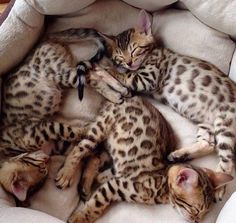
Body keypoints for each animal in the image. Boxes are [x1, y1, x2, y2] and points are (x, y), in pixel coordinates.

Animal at [52, 10, 236, 199]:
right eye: (120, 56)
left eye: (135, 49)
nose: (129, 62)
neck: (152, 54)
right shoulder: (135, 80)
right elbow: (121, 79)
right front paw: (107, 79)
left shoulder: (147, 78)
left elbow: (115, 72)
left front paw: (99, 71)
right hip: (206, 123)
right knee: (209, 144)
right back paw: (179, 155)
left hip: (225, 124)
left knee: (228, 161)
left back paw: (219, 186)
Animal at [54, 96, 232, 223]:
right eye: (194, 209)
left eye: (205, 212)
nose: (197, 221)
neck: (163, 184)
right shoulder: (117, 186)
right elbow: (97, 203)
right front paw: (79, 218)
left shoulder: (119, 173)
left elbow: (106, 174)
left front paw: (99, 177)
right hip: (101, 128)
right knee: (80, 149)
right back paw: (67, 173)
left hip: (111, 142)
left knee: (95, 156)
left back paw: (86, 183)